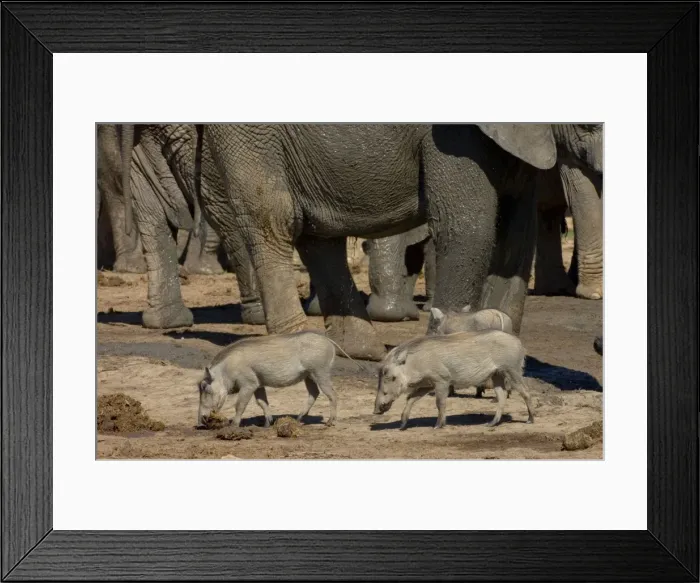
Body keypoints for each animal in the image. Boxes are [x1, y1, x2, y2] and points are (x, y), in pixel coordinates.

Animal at [194, 124, 601, 361]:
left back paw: (357, 351)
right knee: (274, 217)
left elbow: (516, 236)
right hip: (251, 134)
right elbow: (467, 227)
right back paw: (296, 342)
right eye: (588, 125)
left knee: (318, 234)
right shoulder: (454, 138)